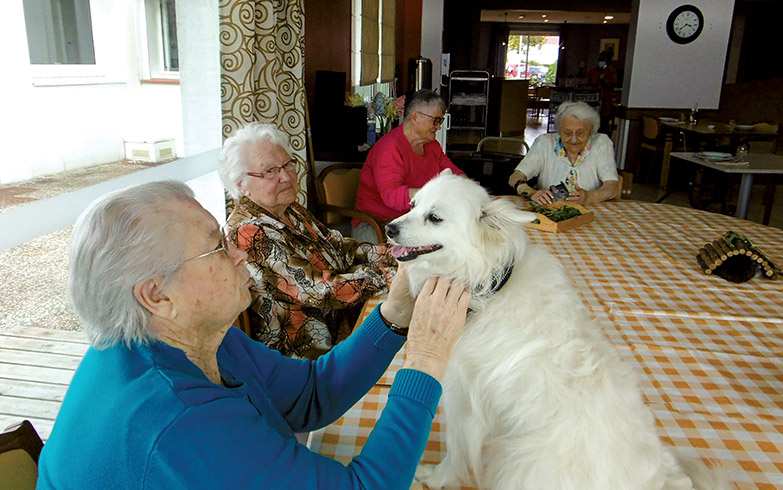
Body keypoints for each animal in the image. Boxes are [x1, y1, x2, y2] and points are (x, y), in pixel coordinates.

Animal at [386, 172, 728, 490]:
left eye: (434, 217)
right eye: (412, 205)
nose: (390, 229)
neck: (488, 286)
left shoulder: (463, 404)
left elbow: (455, 453)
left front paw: (435, 477)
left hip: (518, 459)